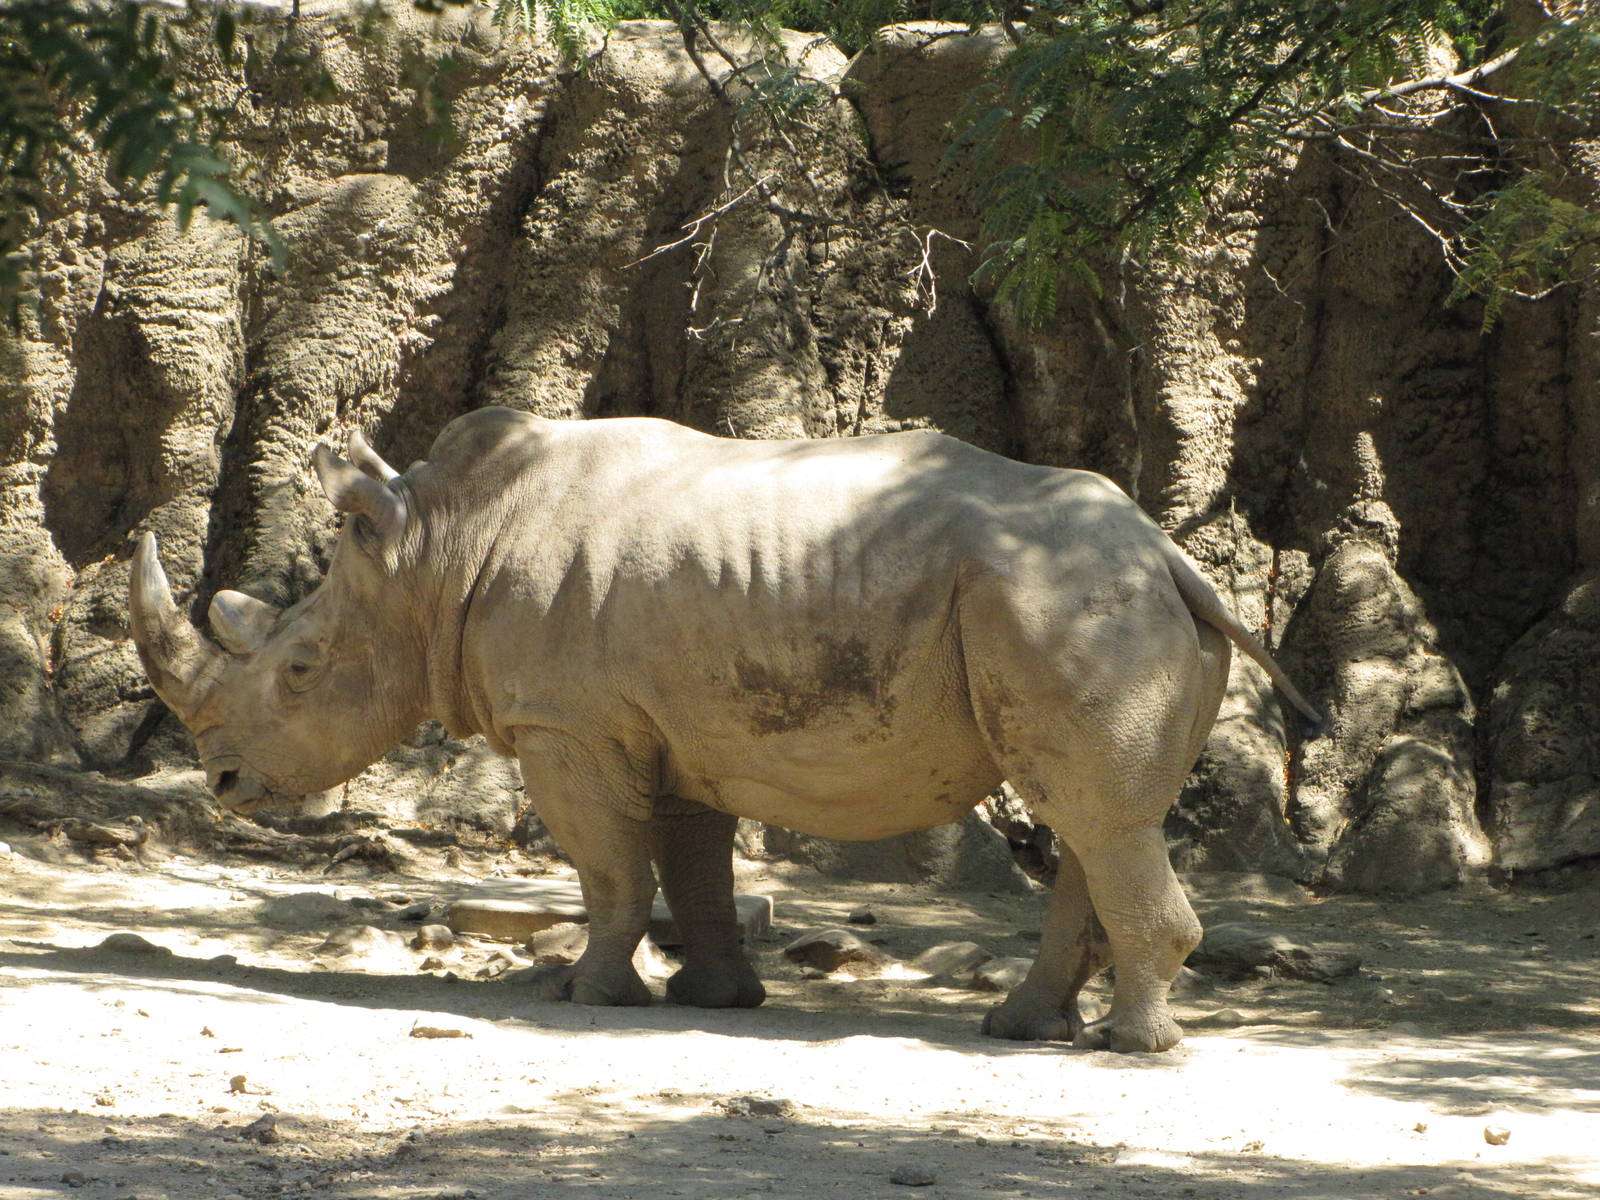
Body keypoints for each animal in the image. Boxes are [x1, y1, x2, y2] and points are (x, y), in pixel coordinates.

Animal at [129, 405, 1318, 1053]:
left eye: (298, 672)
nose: (220, 781)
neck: (431, 551)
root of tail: (1171, 555)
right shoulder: (670, 724)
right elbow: (690, 863)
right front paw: (716, 998)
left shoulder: (568, 724)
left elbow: (610, 865)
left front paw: (582, 993)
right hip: (1070, 602)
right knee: (1082, 812)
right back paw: (1027, 1029)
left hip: (1064, 599)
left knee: (1095, 813)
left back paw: (1130, 1047)